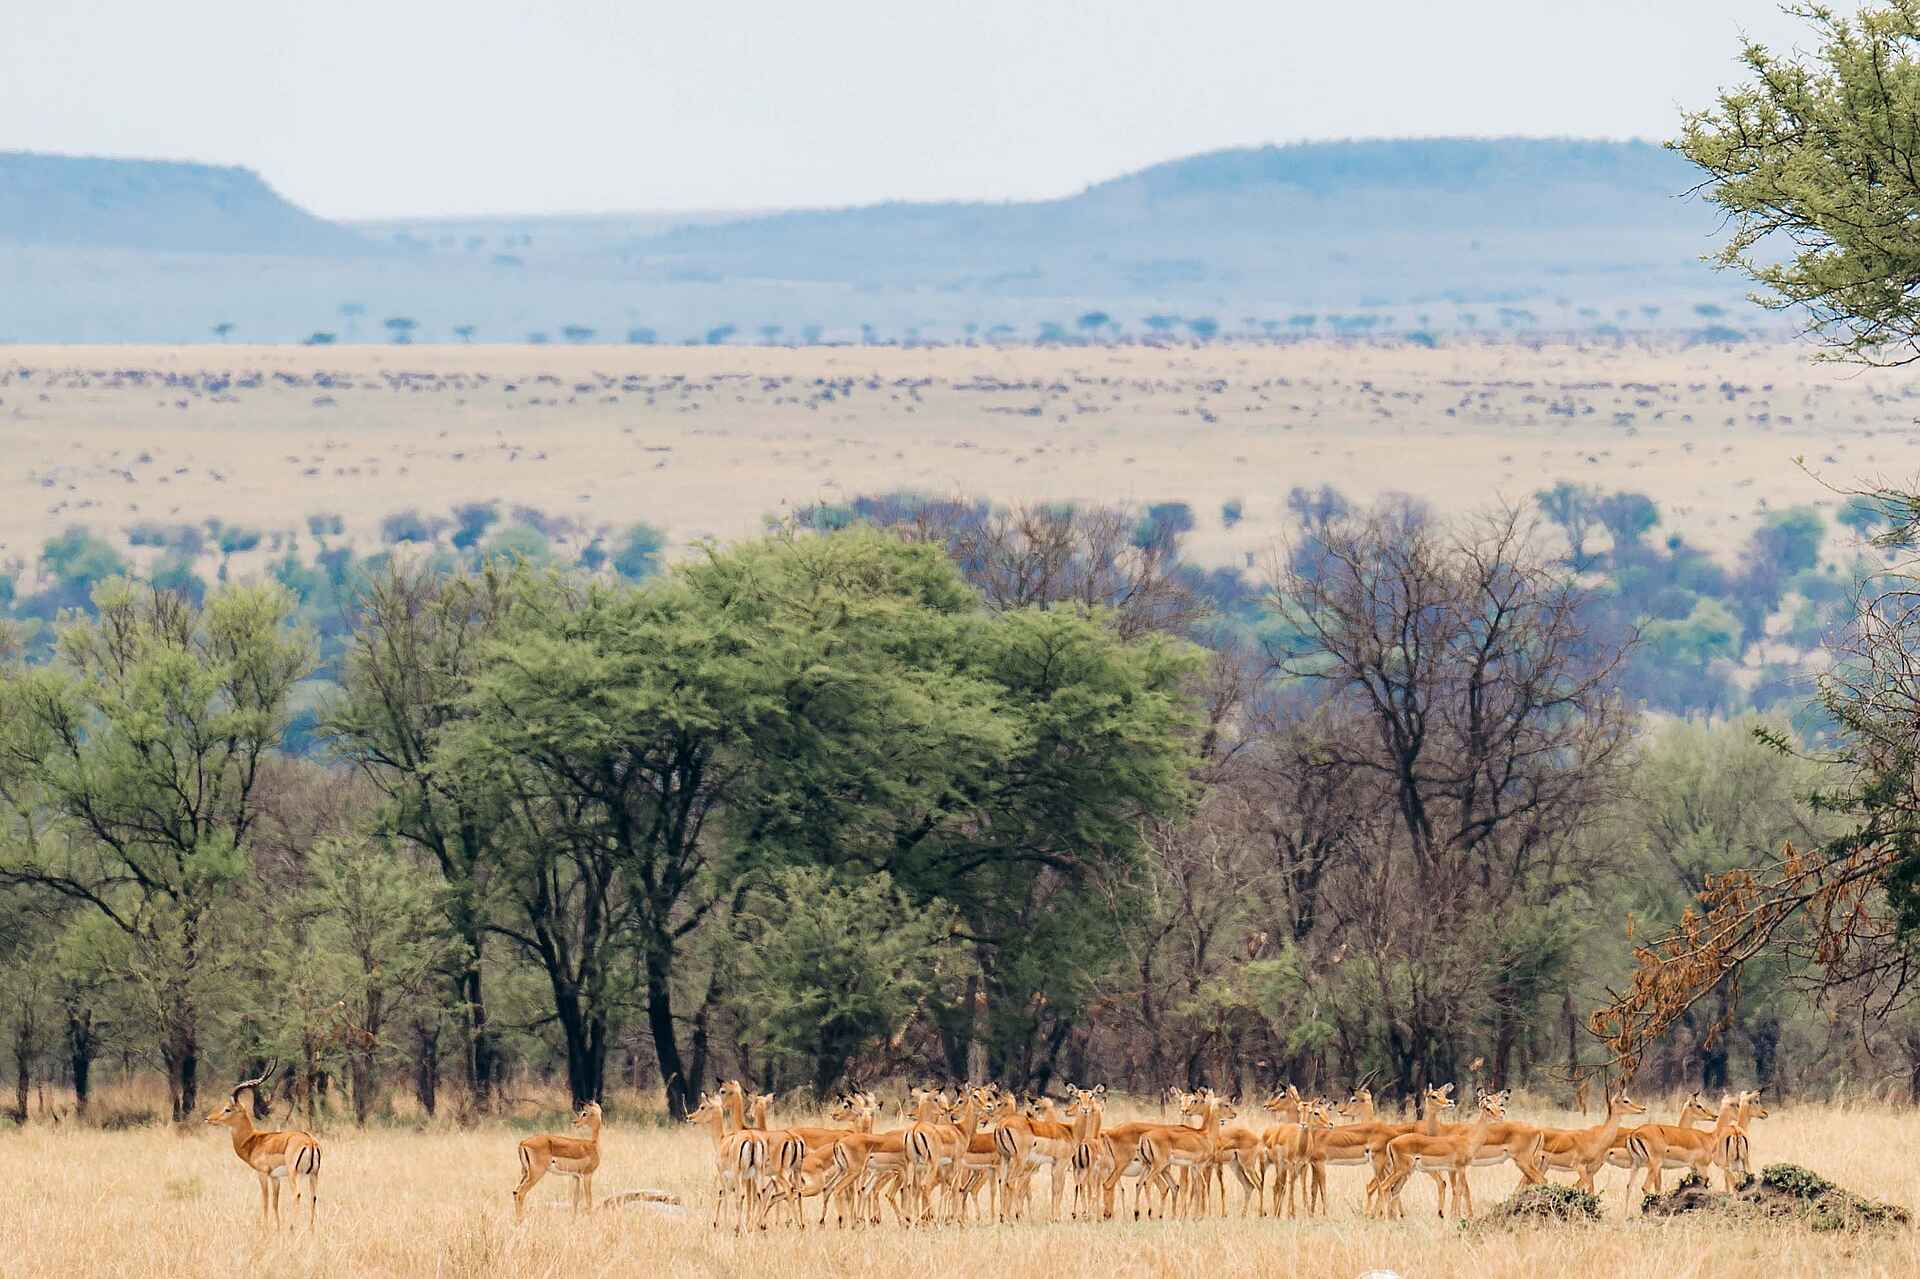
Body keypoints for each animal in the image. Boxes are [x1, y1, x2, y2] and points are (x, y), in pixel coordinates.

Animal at [204, 1062, 320, 1230]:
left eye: (227, 1109)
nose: (208, 1118)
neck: (253, 1140)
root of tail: (310, 1142)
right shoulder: (275, 1177)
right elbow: (275, 1203)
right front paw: (277, 1228)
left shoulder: (262, 1174)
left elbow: (265, 1201)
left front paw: (265, 1227)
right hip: (313, 1174)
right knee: (313, 1197)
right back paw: (311, 1230)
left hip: (294, 1174)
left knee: (297, 1195)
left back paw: (292, 1228)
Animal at [1377, 1089, 1508, 1219]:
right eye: (1487, 1108)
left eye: (1498, 1105)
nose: (1501, 1116)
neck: (1468, 1140)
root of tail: (1391, 1142)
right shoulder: (1460, 1168)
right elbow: (1460, 1189)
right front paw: (1456, 1216)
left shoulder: (1455, 1169)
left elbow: (1458, 1189)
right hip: (1401, 1170)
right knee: (1384, 1186)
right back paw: (1387, 1219)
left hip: (1406, 1171)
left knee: (1394, 1190)